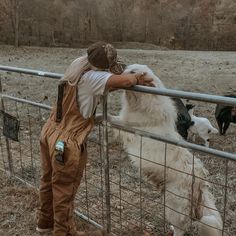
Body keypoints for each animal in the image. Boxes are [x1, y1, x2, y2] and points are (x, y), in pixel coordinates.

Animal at [109, 64, 222, 236]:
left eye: (133, 72)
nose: (116, 75)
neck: (142, 101)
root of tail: (199, 184)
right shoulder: (124, 122)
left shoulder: (128, 126)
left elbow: (111, 120)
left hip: (173, 206)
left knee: (181, 229)